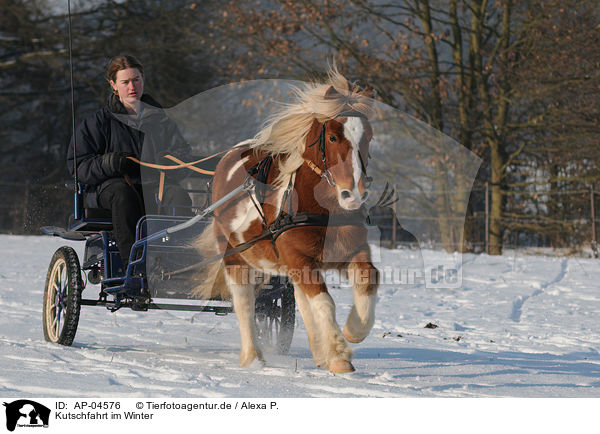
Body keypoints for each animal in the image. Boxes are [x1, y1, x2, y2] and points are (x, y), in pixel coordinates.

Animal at [193, 69, 380, 374]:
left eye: (369, 137)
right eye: (333, 138)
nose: (354, 194)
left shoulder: (346, 252)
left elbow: (368, 278)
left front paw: (353, 331)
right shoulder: (300, 259)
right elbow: (324, 302)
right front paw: (339, 353)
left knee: (300, 301)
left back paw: (319, 351)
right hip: (234, 255)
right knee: (244, 303)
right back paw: (253, 357)